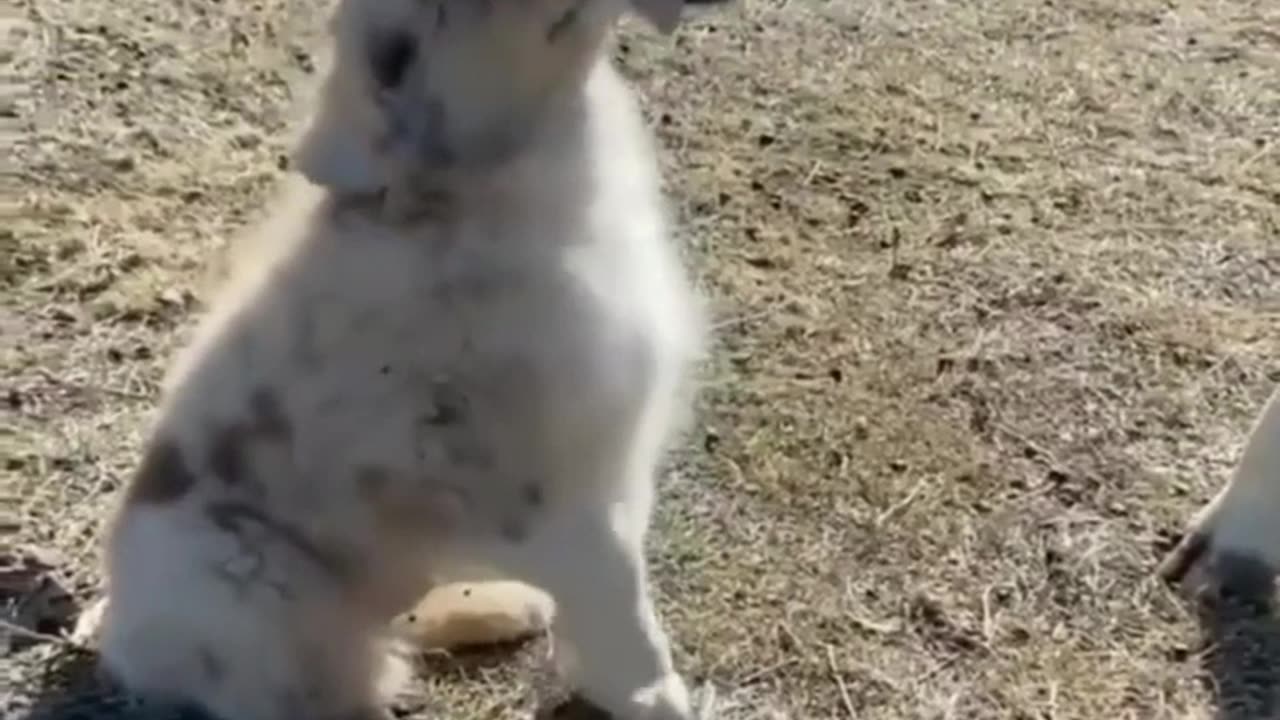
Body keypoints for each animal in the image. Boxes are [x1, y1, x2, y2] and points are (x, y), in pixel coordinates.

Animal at [96, 1, 732, 717]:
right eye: (397, 53)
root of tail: (116, 632)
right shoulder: (547, 500)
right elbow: (622, 613)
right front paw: (660, 700)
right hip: (248, 601)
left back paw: (504, 606)